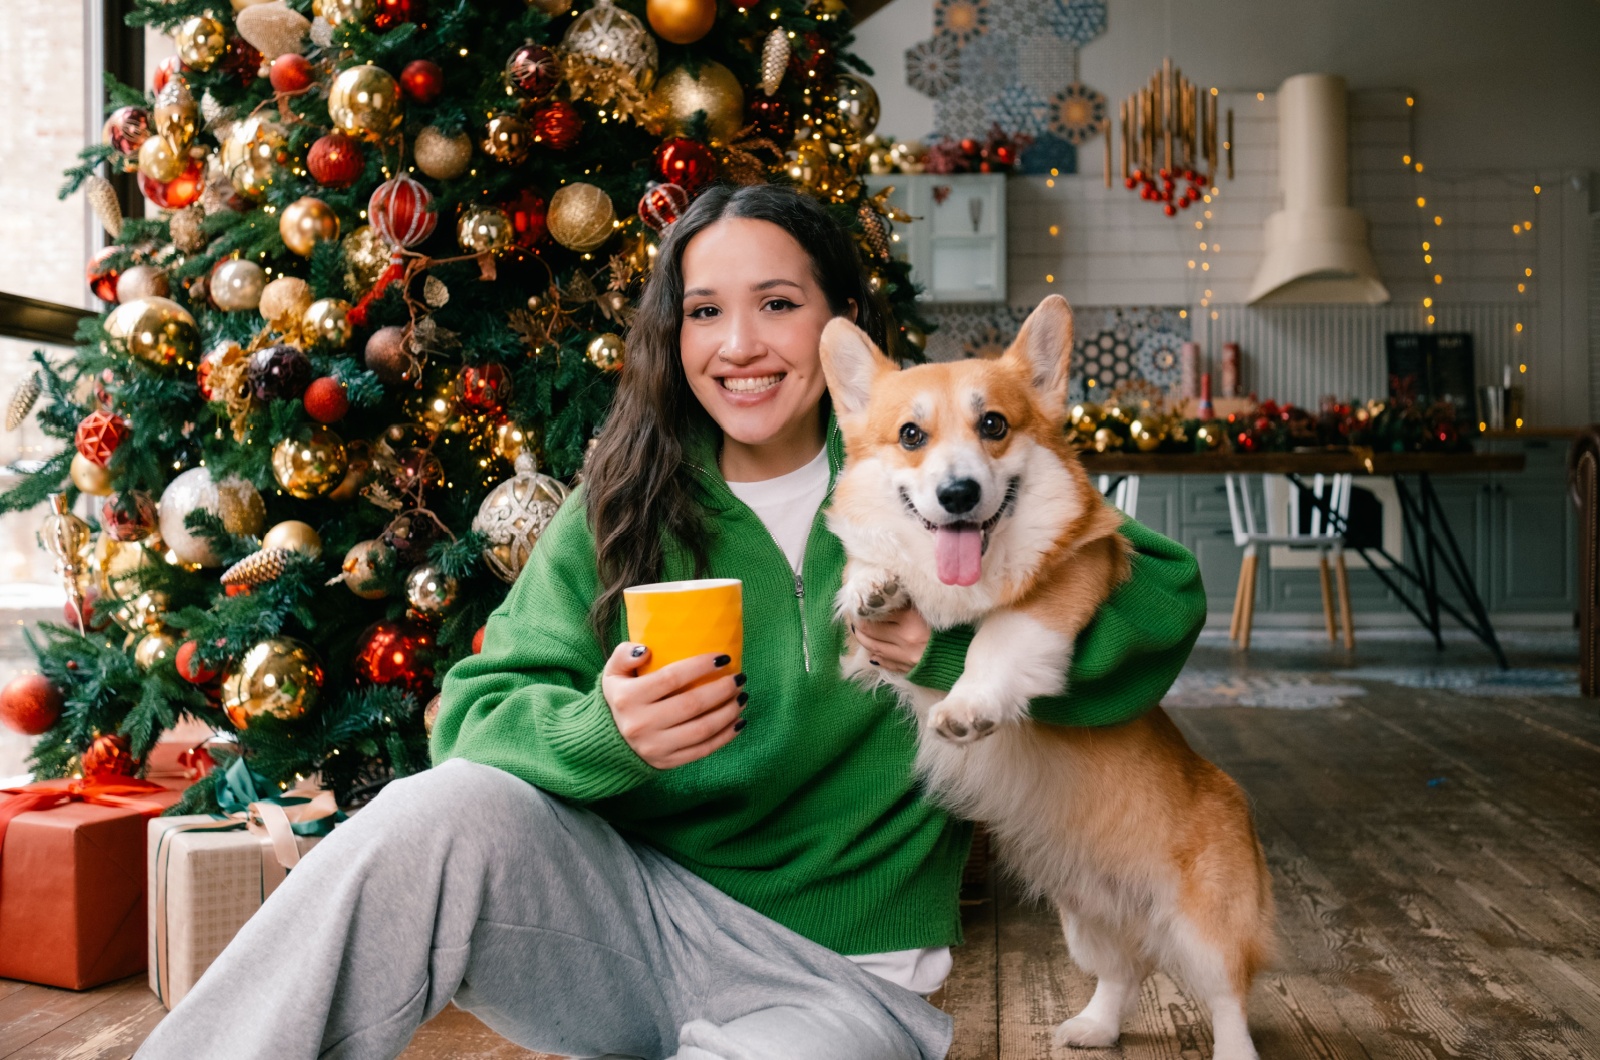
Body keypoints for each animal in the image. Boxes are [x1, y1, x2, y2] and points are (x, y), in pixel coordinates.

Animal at [819, 294, 1267, 1056]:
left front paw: (969, 705)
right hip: (1084, 917)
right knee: (1121, 973)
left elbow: (999, 636)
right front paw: (873, 585)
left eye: (993, 425)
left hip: (1205, 928)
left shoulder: (1070, 581)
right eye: (910, 435)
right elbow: (872, 569)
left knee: (1227, 998)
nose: (959, 493)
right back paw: (1092, 1027)